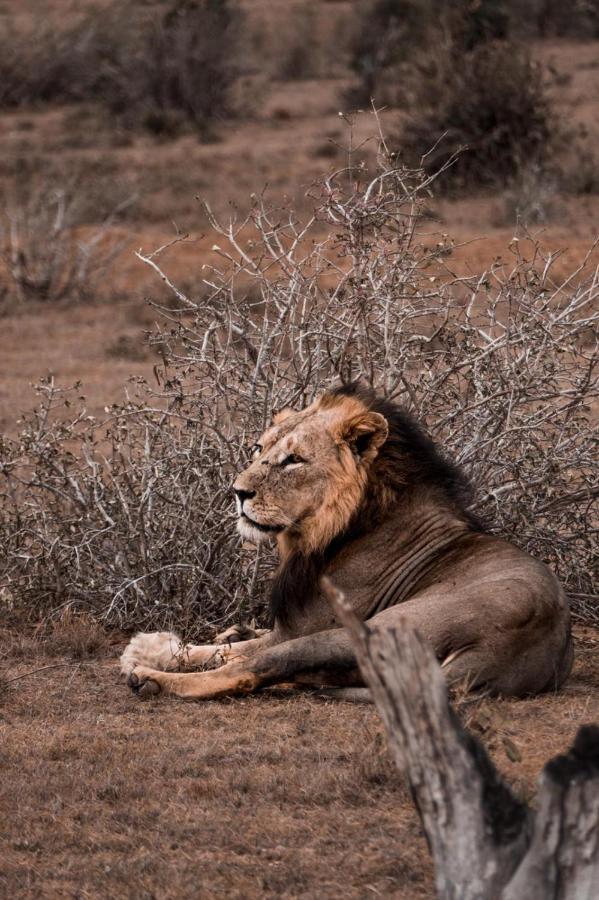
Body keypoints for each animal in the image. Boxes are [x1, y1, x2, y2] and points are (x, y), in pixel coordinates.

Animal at [119, 380, 576, 704]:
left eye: (293, 460)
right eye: (258, 448)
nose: (237, 492)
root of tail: (499, 650)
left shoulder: (298, 628)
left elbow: (228, 655)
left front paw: (145, 652)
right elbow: (230, 644)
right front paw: (221, 632)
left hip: (362, 631)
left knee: (248, 671)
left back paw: (150, 681)